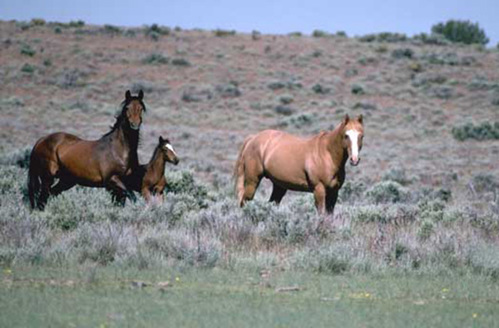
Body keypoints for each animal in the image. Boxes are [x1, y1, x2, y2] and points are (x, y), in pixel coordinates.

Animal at [236, 114, 366, 214]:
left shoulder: (334, 192)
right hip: (252, 182)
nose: (354, 159)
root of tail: (253, 138)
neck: (327, 155)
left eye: (361, 136)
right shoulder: (319, 190)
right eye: (346, 135)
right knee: (244, 202)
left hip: (279, 186)